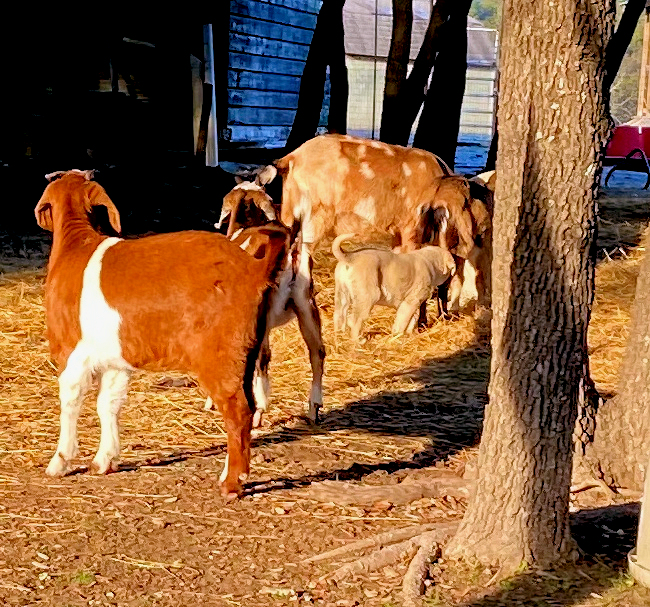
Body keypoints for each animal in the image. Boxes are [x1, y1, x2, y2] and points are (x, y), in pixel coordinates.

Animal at [36, 170, 288, 498]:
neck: (76, 244)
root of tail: (252, 269)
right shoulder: (117, 360)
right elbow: (109, 403)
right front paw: (104, 461)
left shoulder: (71, 352)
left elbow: (70, 400)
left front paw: (59, 462)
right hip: (248, 350)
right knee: (251, 405)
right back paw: (229, 475)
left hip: (220, 355)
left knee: (238, 412)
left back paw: (232, 483)